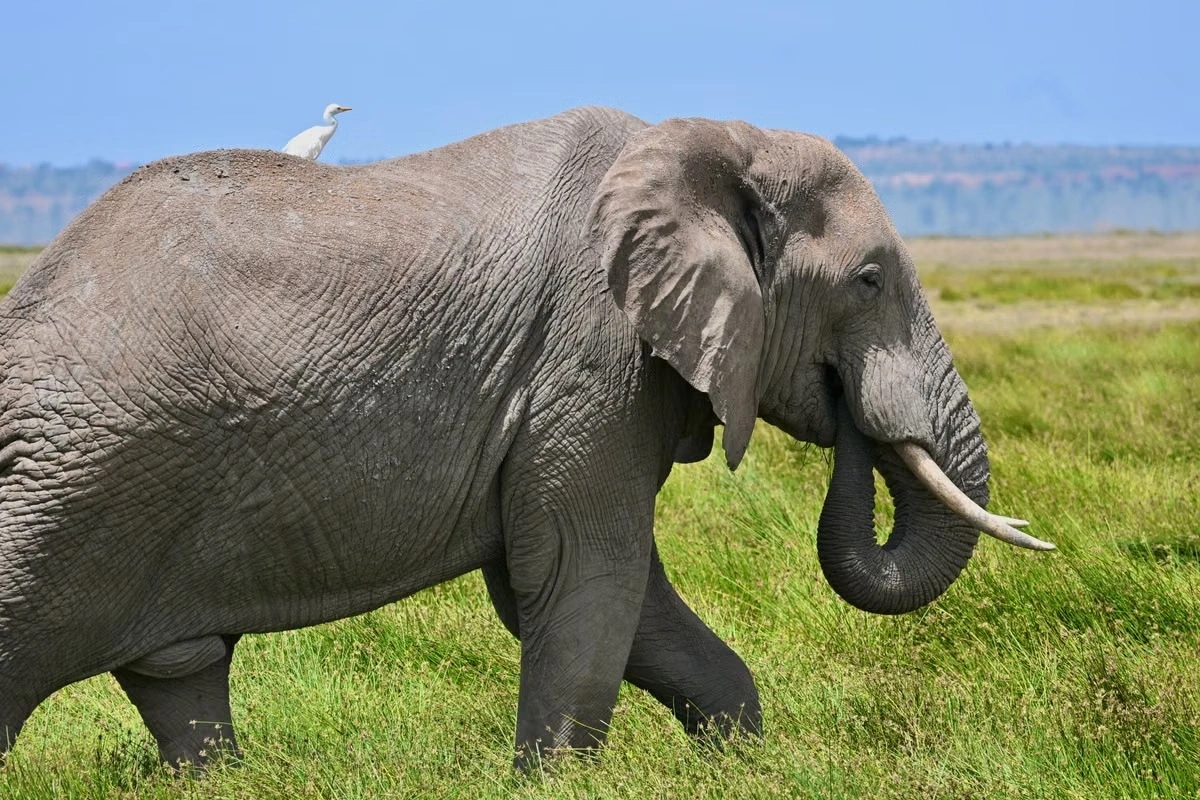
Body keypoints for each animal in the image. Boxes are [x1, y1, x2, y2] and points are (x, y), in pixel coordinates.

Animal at [0, 106, 1052, 770]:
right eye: (869, 280)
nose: (850, 415)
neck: (706, 144)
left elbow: (602, 593)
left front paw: (741, 761)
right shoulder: (589, 349)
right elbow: (585, 574)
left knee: (180, 680)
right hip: (62, 490)